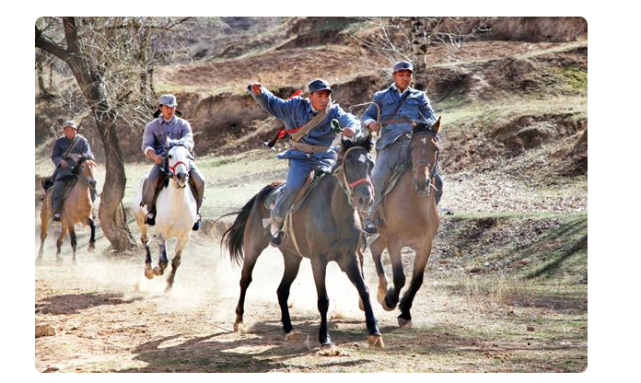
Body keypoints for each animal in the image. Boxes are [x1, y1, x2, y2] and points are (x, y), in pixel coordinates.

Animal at [132, 144, 198, 292]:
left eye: (188, 156)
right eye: (170, 156)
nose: (182, 175)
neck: (178, 203)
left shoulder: (185, 236)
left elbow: (176, 261)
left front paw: (169, 285)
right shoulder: (162, 233)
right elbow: (163, 261)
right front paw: (156, 270)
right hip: (140, 220)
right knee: (145, 240)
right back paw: (148, 270)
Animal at [220, 135, 382, 352]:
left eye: (371, 164)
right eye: (348, 164)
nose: (366, 198)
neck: (335, 212)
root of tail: (264, 191)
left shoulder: (350, 258)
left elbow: (364, 289)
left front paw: (374, 332)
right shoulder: (318, 261)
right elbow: (323, 300)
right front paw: (325, 338)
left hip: (292, 258)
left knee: (282, 290)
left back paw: (289, 329)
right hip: (253, 249)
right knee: (245, 280)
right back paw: (239, 320)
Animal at [370, 118, 440, 328]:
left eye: (435, 148)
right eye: (414, 146)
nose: (422, 182)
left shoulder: (425, 246)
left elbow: (417, 280)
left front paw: (405, 312)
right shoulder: (395, 242)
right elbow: (400, 277)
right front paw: (391, 300)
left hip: (383, 235)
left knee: (374, 249)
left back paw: (381, 291)